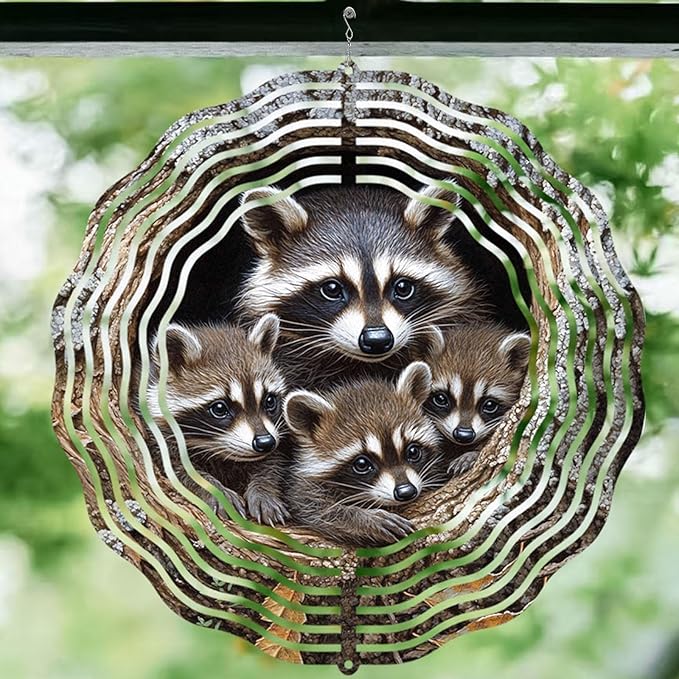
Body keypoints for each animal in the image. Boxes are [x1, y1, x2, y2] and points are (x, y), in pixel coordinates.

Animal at [141, 313, 290, 525]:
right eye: (220, 408)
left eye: (269, 401)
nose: (265, 442)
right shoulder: (158, 436)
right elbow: (178, 469)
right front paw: (216, 489)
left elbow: (272, 463)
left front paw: (263, 490)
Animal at [283, 362, 448, 547]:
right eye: (362, 464)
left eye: (413, 451)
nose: (406, 491)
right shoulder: (302, 485)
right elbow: (314, 507)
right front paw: (365, 519)